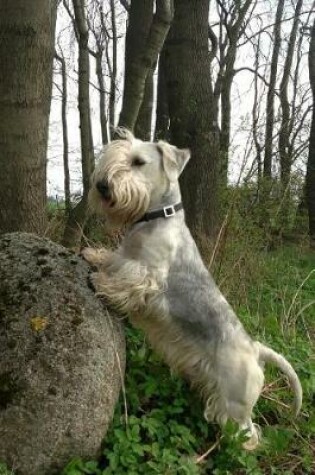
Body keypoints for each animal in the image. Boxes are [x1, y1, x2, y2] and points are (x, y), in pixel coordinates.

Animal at [82, 130, 304, 450]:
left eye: (138, 162)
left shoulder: (148, 277)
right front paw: (94, 255)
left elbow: (126, 283)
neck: (155, 218)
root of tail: (255, 349)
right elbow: (111, 258)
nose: (102, 185)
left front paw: (102, 283)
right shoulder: (126, 257)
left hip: (236, 405)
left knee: (248, 434)